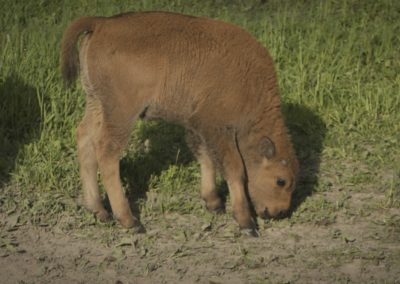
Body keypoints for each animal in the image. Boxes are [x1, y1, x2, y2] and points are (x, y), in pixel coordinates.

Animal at [61, 11, 298, 236]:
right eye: (281, 181)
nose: (279, 212)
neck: (250, 82)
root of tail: (102, 23)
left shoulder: (197, 125)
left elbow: (205, 158)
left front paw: (213, 203)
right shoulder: (217, 128)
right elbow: (234, 170)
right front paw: (246, 223)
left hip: (95, 102)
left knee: (85, 138)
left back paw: (99, 210)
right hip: (121, 113)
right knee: (107, 151)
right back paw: (130, 221)